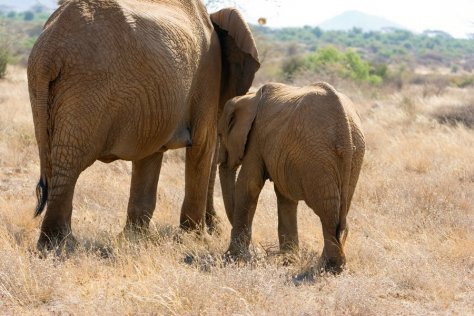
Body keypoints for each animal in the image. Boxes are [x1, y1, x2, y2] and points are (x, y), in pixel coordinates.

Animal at [27, 0, 260, 252]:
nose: (216, 228)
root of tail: (49, 51)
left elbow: (149, 155)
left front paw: (134, 238)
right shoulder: (208, 79)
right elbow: (202, 147)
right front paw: (194, 240)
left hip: (44, 91)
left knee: (53, 160)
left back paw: (55, 245)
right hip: (87, 85)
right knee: (70, 161)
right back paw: (62, 246)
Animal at [218, 82, 366, 272]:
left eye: (220, 135)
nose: (256, 249)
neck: (248, 97)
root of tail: (345, 126)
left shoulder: (256, 137)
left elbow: (249, 185)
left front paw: (232, 258)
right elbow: (284, 195)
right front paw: (288, 259)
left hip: (316, 155)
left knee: (327, 209)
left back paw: (329, 268)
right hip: (353, 154)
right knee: (341, 208)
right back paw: (331, 265)